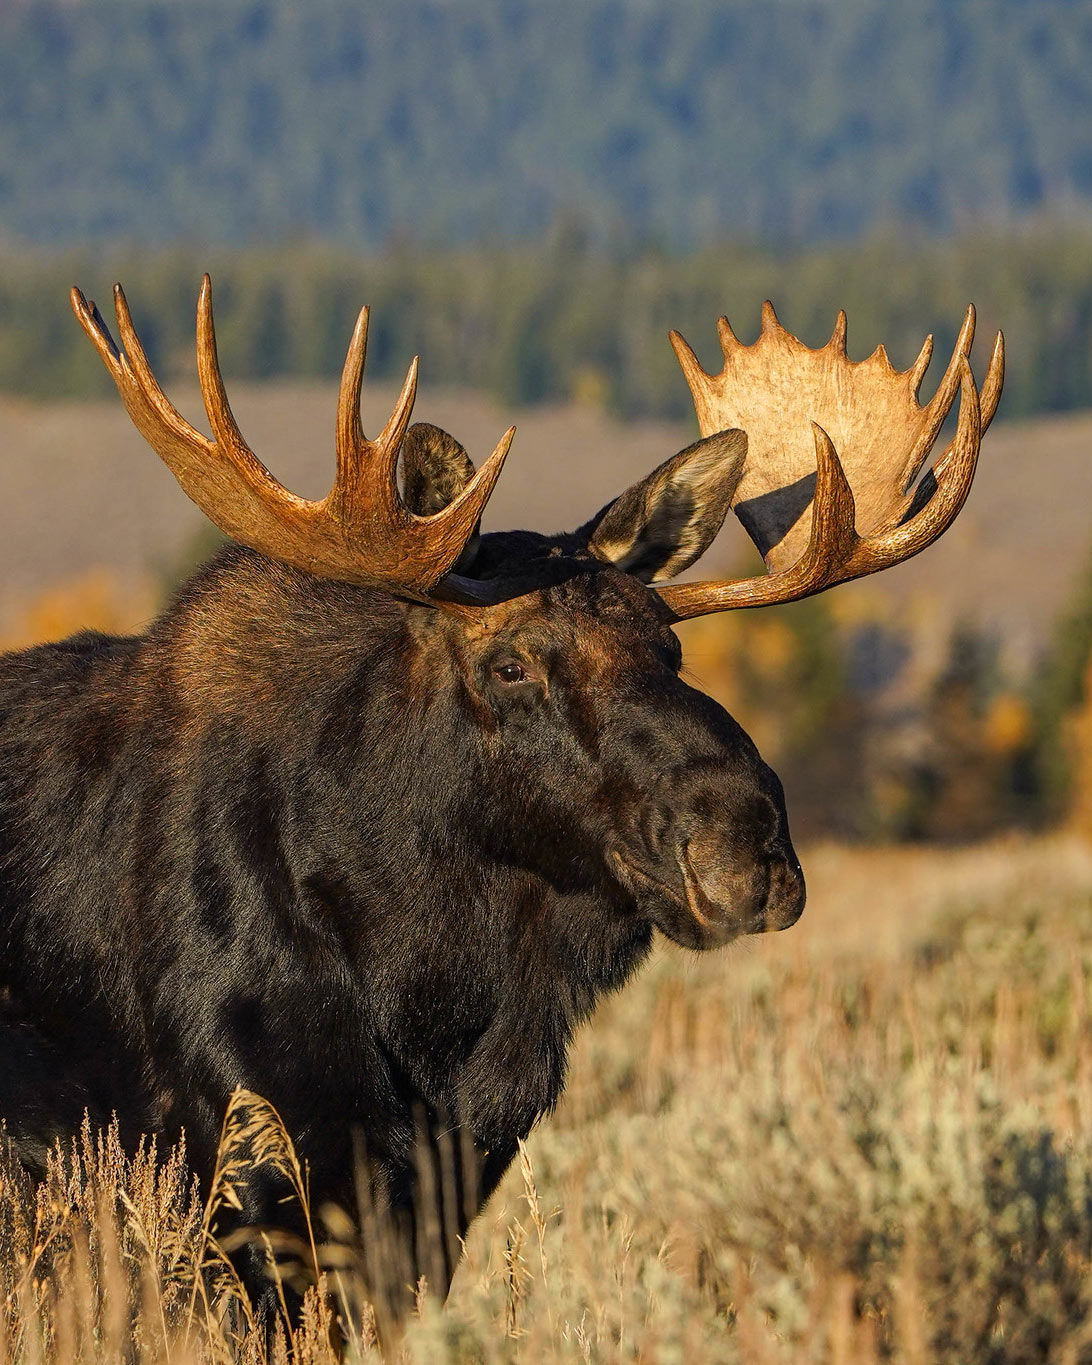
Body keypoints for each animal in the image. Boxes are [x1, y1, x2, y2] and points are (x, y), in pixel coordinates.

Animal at [0, 277, 1002, 1320]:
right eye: (510, 663)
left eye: (670, 645)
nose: (747, 849)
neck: (434, 992)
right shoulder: (248, 1177)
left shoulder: (442, 1190)